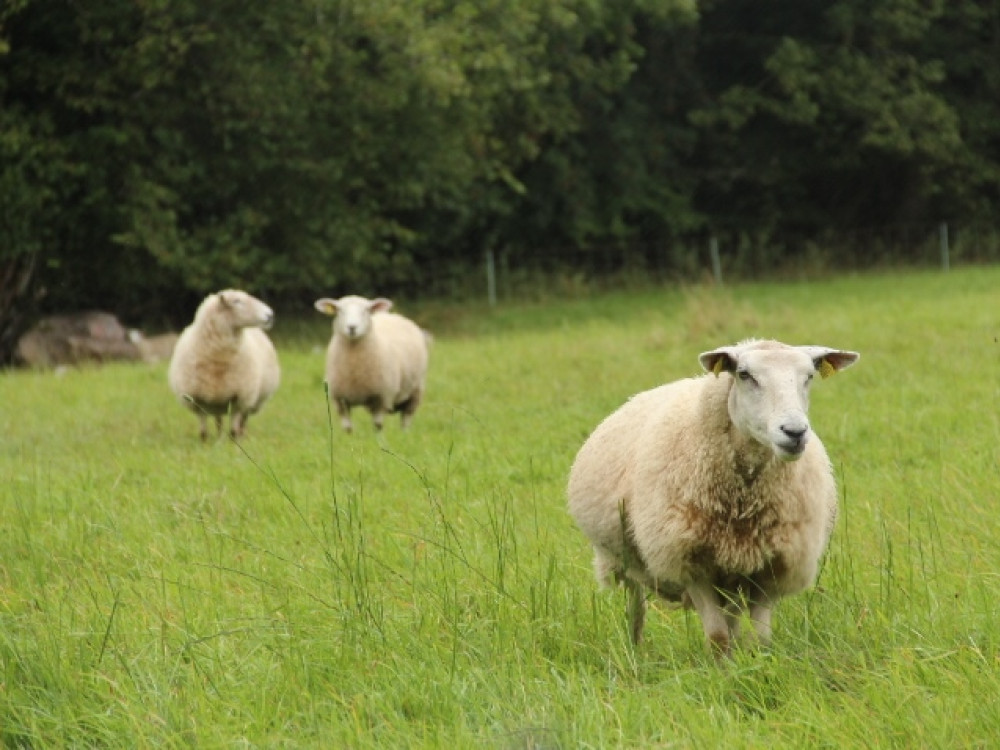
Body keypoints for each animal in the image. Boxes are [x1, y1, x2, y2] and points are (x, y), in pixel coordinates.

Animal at [167, 289, 280, 440]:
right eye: (237, 301)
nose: (270, 315)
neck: (219, 356)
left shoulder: (239, 397)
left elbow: (233, 429)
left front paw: (234, 442)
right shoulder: (197, 399)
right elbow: (203, 430)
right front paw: (205, 442)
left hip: (252, 399)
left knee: (243, 420)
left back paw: (240, 436)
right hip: (217, 400)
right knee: (219, 421)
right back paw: (219, 438)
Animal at [314, 295, 429, 433]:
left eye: (366, 310)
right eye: (339, 311)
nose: (352, 327)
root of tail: (394, 315)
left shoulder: (381, 397)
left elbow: (378, 425)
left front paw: (378, 438)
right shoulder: (340, 400)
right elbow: (347, 428)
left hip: (416, 390)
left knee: (406, 418)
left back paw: (404, 434)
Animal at [567, 339, 859, 657]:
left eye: (809, 376)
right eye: (744, 375)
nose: (794, 432)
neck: (744, 504)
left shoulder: (773, 566)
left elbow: (761, 638)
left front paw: (757, 663)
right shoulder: (691, 563)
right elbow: (717, 638)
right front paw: (723, 667)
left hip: (731, 572)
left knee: (731, 617)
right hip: (627, 560)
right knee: (637, 609)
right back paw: (637, 652)